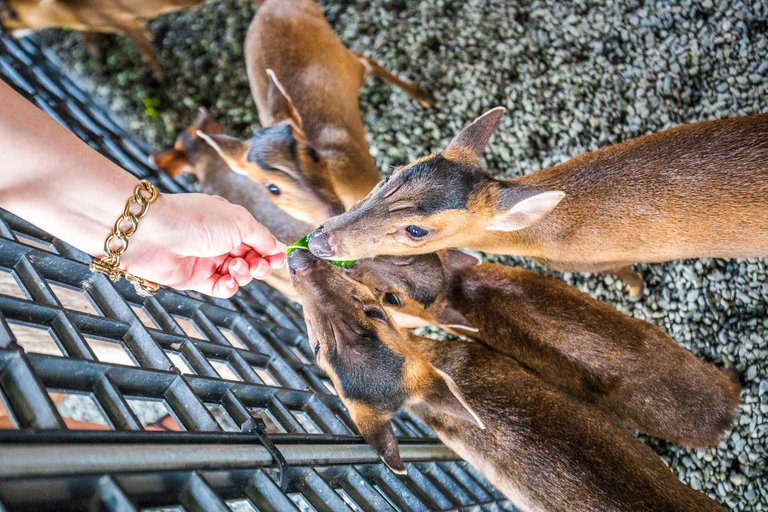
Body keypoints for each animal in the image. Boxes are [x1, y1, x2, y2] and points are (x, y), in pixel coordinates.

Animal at [0, 0, 204, 79]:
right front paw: (99, 65)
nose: (3, 30)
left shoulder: (124, 21)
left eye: (13, 13)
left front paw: (162, 77)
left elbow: (147, 52)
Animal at [201, 0, 436, 224]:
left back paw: (424, 97)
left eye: (313, 153)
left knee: (365, 60)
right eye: (272, 188)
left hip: (338, 52)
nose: (333, 212)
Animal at [308, 110, 768, 298]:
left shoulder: (601, 259)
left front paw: (636, 291)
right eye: (390, 174)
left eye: (417, 230)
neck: (545, 237)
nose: (319, 240)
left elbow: (628, 274)